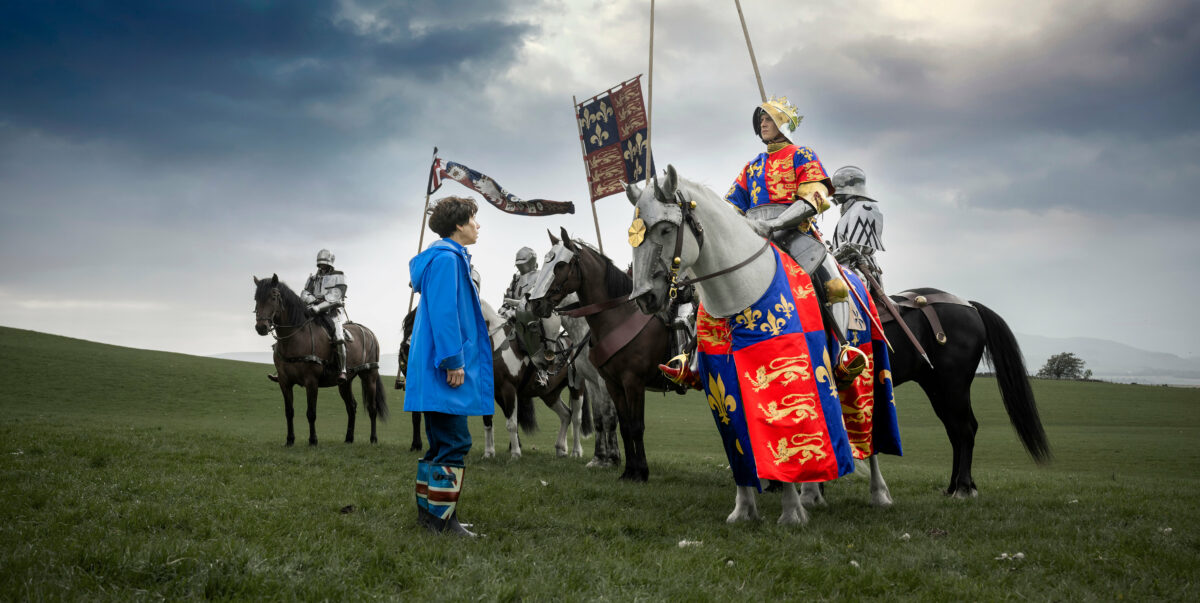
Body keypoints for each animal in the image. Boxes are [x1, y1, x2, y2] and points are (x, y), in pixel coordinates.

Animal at [253, 275, 388, 444]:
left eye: (273, 297)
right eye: (256, 298)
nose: (261, 327)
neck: (295, 337)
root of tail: (369, 333)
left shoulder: (311, 381)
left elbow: (311, 413)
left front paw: (313, 440)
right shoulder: (284, 382)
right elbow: (289, 412)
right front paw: (290, 440)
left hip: (369, 376)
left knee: (372, 408)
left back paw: (373, 439)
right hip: (345, 382)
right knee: (351, 407)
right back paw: (349, 439)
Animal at [530, 228, 681, 482]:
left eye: (560, 265)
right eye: (544, 262)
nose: (535, 303)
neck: (617, 316)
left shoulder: (631, 382)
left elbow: (629, 424)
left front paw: (629, 467)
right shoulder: (606, 382)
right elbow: (615, 423)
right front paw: (619, 466)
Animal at [624, 163, 888, 523]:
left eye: (665, 229)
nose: (644, 297)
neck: (741, 291)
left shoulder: (781, 375)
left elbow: (783, 434)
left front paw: (790, 513)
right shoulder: (721, 383)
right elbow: (738, 441)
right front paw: (744, 509)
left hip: (863, 373)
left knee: (867, 432)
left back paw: (878, 493)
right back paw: (811, 493)